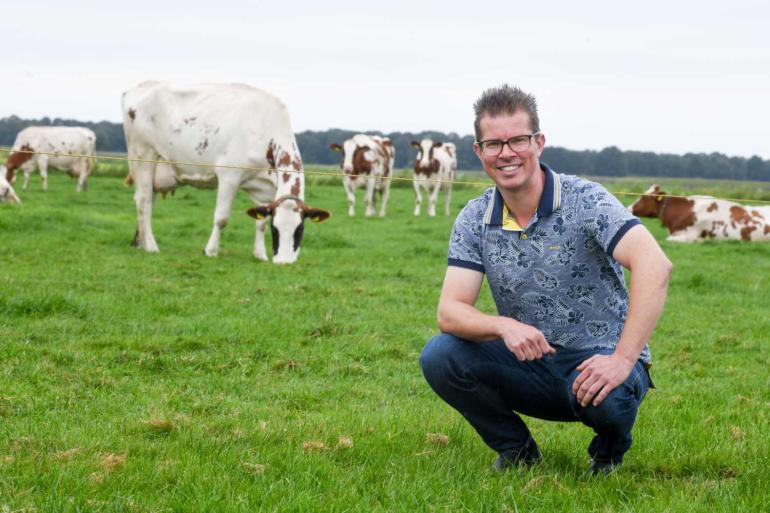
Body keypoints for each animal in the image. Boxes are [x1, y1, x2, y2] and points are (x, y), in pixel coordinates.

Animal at [122, 81, 330, 264]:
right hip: (143, 155)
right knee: (144, 200)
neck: (264, 128)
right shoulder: (229, 176)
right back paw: (151, 246)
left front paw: (260, 255)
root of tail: (141, 86)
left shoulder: (265, 188)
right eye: (276, 229)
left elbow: (260, 221)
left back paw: (140, 242)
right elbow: (222, 218)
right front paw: (210, 250)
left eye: (300, 229)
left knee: (147, 199)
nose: (284, 262)